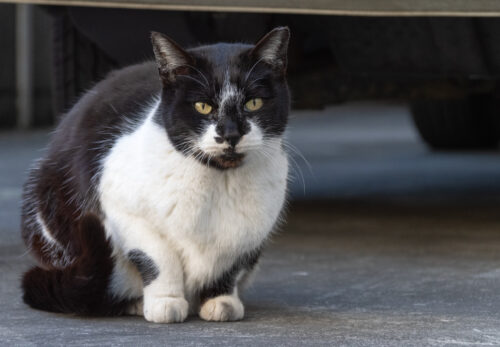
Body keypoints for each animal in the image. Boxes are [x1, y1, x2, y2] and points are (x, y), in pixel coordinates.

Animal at [21, 26, 292, 324]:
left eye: (253, 103)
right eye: (203, 107)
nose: (231, 134)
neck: (219, 182)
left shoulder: (251, 233)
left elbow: (229, 266)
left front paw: (221, 300)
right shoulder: (123, 209)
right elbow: (159, 257)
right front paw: (165, 301)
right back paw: (134, 302)